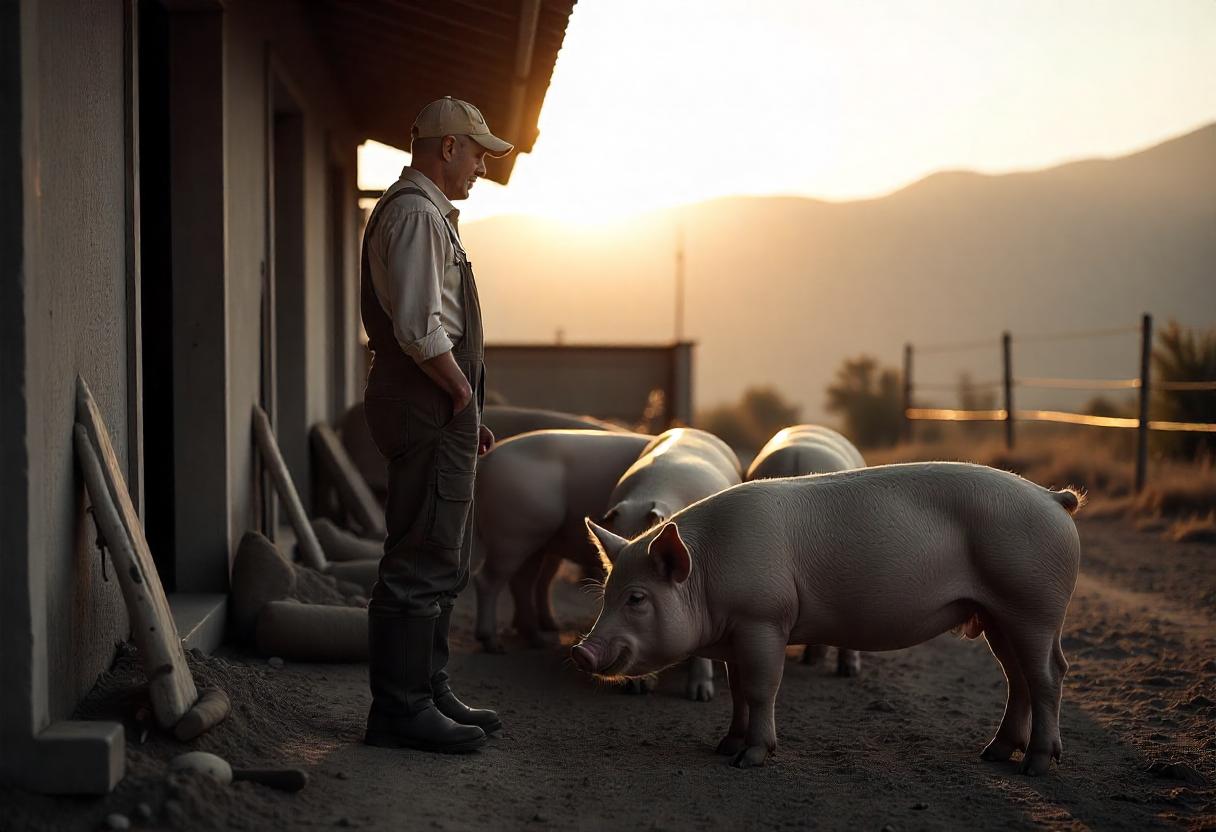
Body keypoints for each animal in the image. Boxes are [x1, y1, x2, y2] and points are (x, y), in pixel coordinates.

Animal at [471, 433, 656, 651]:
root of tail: (486, 461)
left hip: (533, 542)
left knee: (523, 581)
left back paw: (540, 637)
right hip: (511, 536)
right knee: (486, 580)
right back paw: (494, 644)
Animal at [571, 462, 1084, 773]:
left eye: (637, 598)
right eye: (606, 596)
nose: (580, 651)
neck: (708, 573)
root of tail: (1053, 498)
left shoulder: (764, 619)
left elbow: (761, 688)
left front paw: (750, 758)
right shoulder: (736, 634)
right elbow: (737, 692)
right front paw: (725, 747)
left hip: (1034, 605)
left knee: (1049, 674)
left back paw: (1036, 764)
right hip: (997, 614)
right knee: (1017, 677)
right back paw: (993, 754)